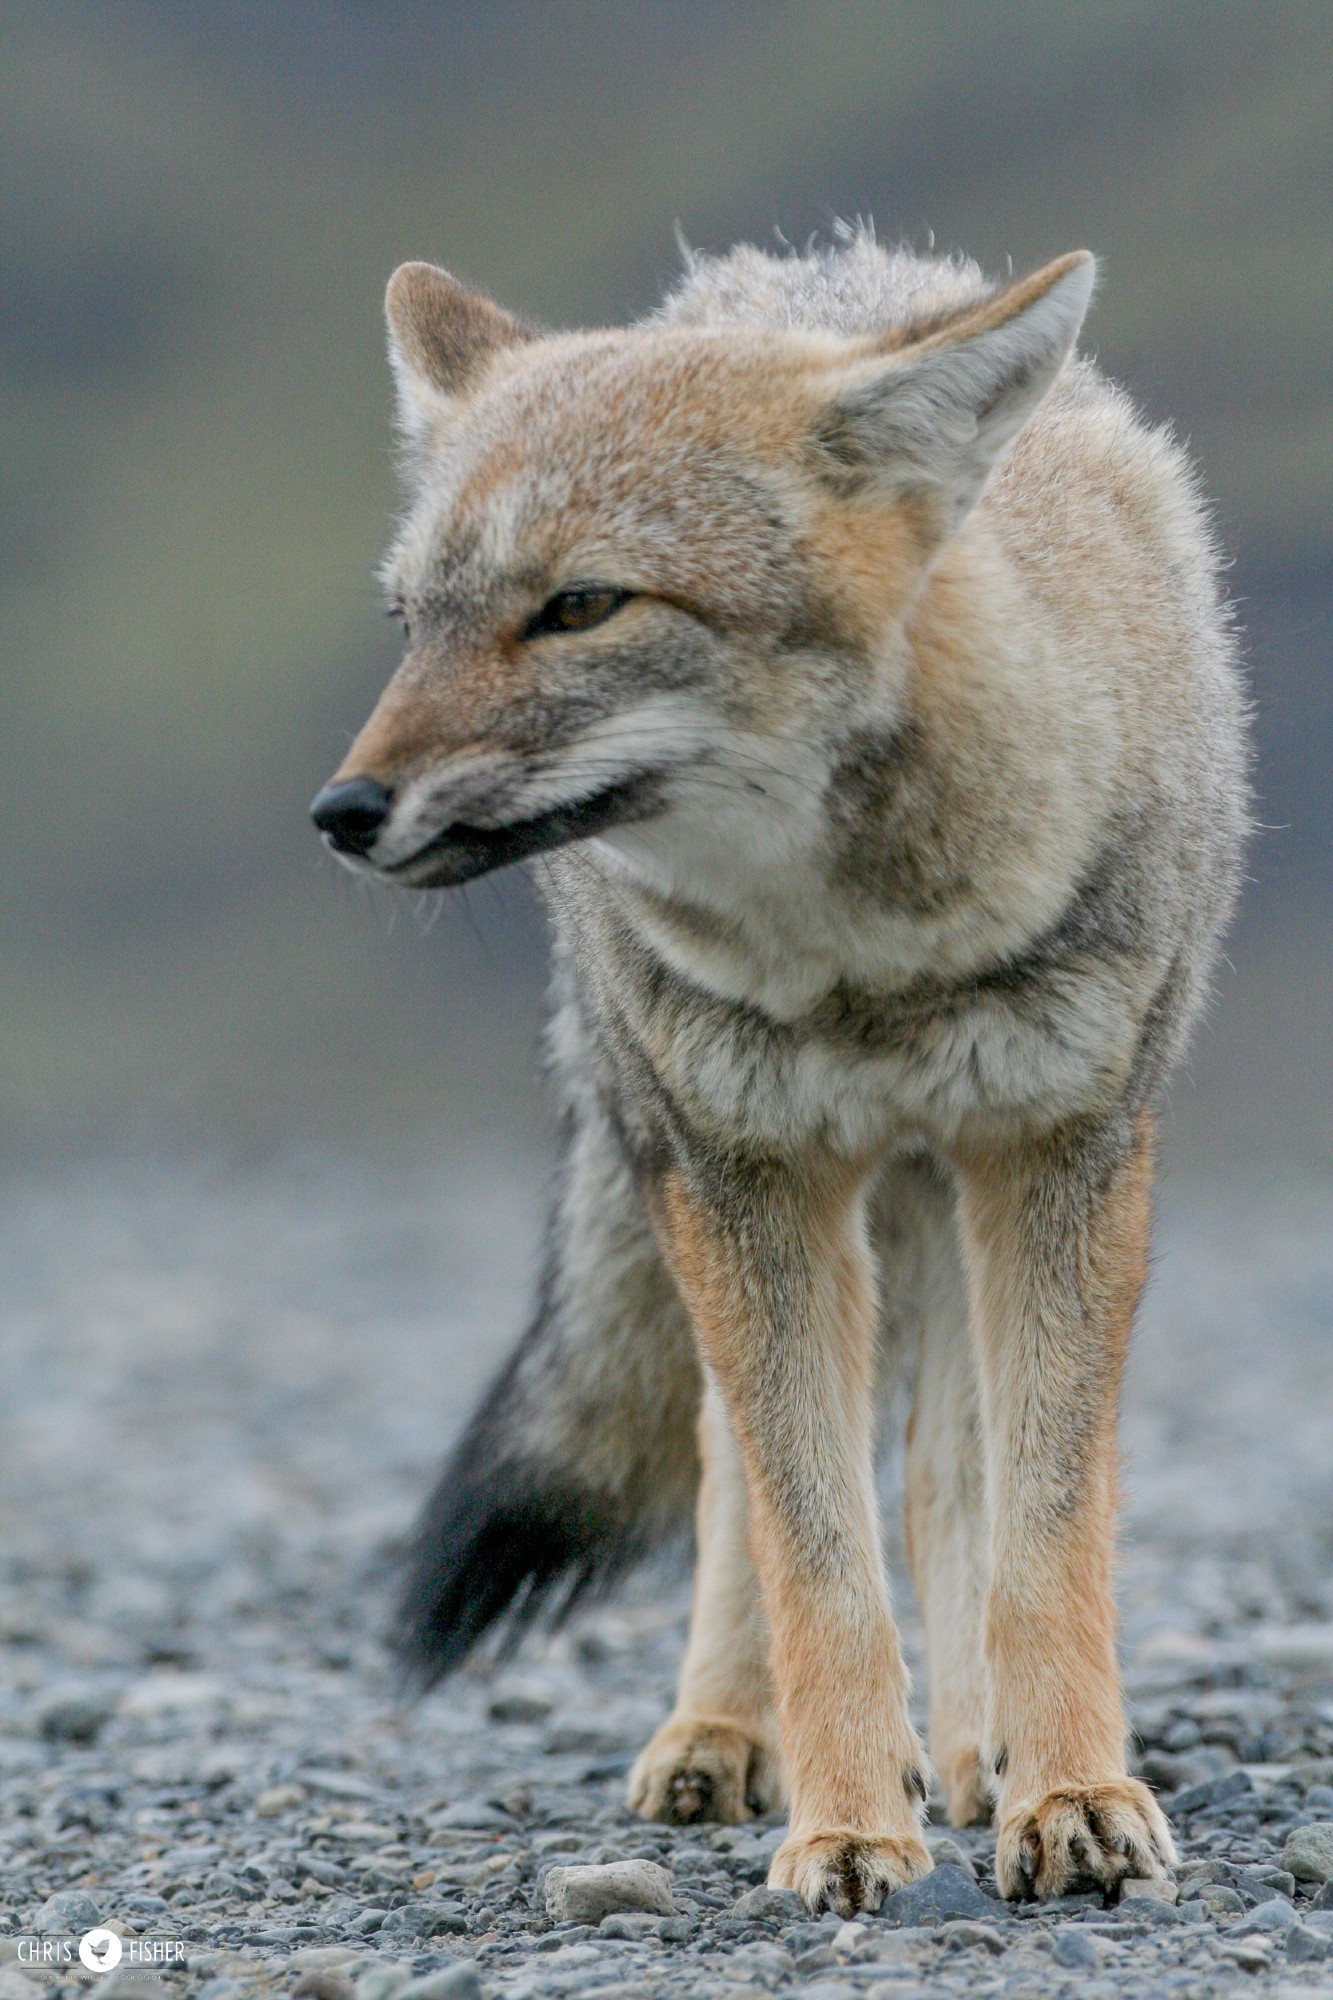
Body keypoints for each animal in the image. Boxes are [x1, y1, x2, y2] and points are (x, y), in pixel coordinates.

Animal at [312, 227, 1248, 1912]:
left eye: (582, 606)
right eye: (413, 620)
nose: (342, 813)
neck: (867, 960)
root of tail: (797, 271)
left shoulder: (1066, 1155)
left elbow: (1040, 1531)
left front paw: (1070, 1792)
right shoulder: (748, 1181)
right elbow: (810, 1545)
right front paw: (845, 1822)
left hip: (942, 1194)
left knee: (944, 1474)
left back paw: (973, 1745)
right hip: (729, 1188)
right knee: (731, 1470)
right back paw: (726, 1736)